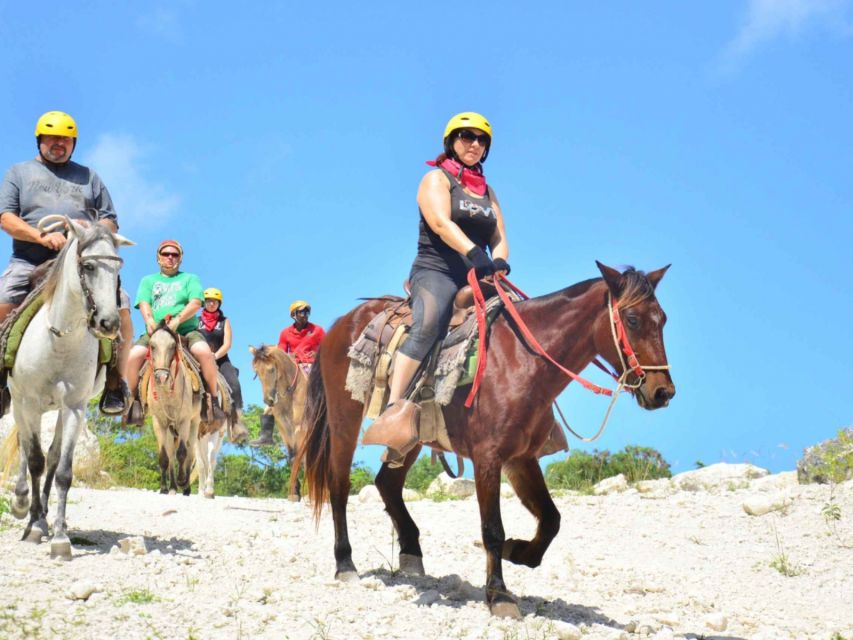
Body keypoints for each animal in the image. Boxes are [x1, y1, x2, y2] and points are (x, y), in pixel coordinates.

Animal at [9, 218, 131, 556]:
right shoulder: (29, 403)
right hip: (21, 404)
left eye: (118, 268)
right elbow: (34, 461)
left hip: (59, 410)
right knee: (26, 449)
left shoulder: (75, 407)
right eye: (88, 266)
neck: (59, 341)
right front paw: (34, 525)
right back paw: (23, 504)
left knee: (49, 456)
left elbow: (61, 470)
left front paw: (60, 536)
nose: (108, 324)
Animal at [248, 344, 308, 500]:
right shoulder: (284, 429)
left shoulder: (301, 429)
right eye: (257, 371)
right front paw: (294, 492)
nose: (268, 400)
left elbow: (302, 457)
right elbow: (293, 459)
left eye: (271, 370)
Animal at [302, 262, 676, 616]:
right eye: (631, 319)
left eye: (663, 319)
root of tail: (342, 323)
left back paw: (411, 554)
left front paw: (518, 550)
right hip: (344, 419)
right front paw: (499, 595)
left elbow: (550, 520)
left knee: (388, 484)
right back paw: (345, 564)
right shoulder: (489, 457)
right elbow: (492, 529)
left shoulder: (521, 458)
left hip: (411, 437)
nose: (663, 392)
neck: (521, 360)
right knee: (339, 486)